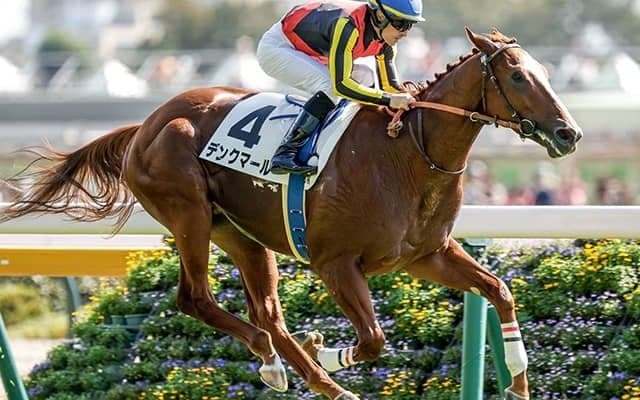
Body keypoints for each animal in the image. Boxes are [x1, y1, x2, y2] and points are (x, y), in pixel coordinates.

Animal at [1, 27, 581, 400]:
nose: (568, 133)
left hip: (242, 235)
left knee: (267, 314)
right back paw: (294, 365)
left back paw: (298, 370)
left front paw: (520, 381)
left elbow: (499, 290)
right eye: (519, 78)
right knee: (198, 300)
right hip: (187, 213)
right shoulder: (335, 263)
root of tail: (146, 124)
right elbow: (373, 339)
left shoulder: (425, 255)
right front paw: (326, 350)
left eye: (546, 72)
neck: (408, 153)